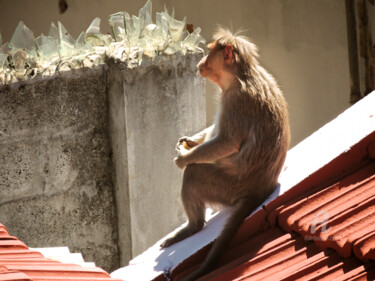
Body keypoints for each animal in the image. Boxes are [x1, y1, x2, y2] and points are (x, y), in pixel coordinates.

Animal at [161, 26, 290, 280]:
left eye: (210, 53)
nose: (201, 61)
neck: (243, 76)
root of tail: (262, 188)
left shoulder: (236, 100)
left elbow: (227, 142)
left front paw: (184, 157)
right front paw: (189, 142)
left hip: (228, 187)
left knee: (195, 175)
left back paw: (193, 227)